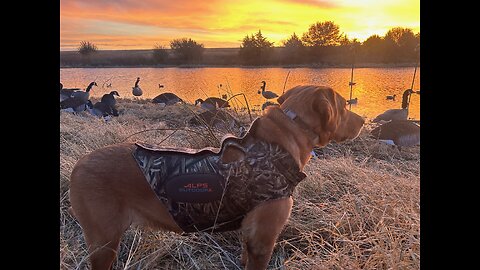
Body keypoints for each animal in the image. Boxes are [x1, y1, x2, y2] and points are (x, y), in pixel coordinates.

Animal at [68, 85, 364, 268]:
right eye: (343, 106)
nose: (362, 121)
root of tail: (79, 164)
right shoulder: (263, 239)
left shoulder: (249, 236)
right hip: (104, 243)